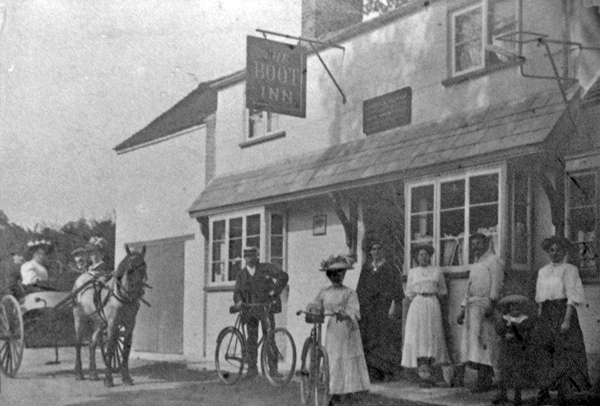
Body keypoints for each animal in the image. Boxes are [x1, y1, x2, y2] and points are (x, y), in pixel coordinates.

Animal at [72, 244, 148, 386]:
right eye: (130, 268)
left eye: (144, 267)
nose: (139, 291)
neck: (122, 296)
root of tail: (81, 277)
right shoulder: (112, 325)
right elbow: (111, 349)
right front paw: (108, 379)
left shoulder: (129, 325)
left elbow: (125, 350)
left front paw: (126, 377)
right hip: (79, 318)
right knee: (78, 344)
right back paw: (79, 373)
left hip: (99, 322)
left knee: (92, 344)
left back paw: (93, 374)